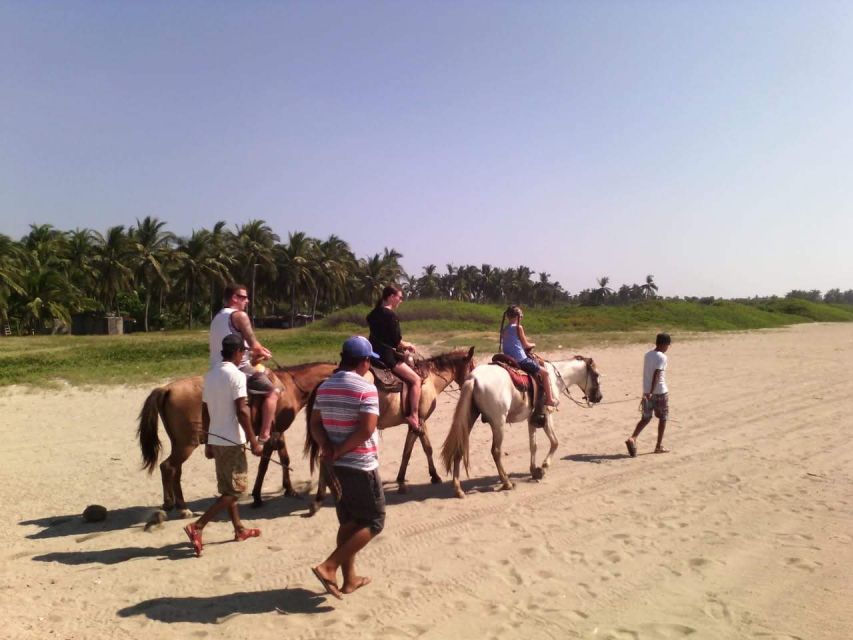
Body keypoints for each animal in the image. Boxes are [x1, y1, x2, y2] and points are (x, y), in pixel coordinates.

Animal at [138, 362, 334, 516]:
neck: (288, 387)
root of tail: (167, 388)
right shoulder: (271, 435)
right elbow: (265, 464)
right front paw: (257, 497)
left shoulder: (278, 432)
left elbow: (285, 459)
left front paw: (290, 489)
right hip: (186, 445)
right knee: (167, 467)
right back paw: (175, 505)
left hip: (180, 445)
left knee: (175, 470)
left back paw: (181, 506)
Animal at [302, 344, 476, 516]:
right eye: (472, 367)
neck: (430, 379)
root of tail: (324, 382)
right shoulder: (419, 420)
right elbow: (418, 450)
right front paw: (421, 478)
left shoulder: (416, 424)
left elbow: (415, 450)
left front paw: (414, 479)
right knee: (325, 459)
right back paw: (320, 499)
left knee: (325, 457)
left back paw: (321, 498)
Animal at [442, 356, 604, 500]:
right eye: (596, 375)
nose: (599, 397)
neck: (555, 379)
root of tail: (473, 379)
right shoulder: (547, 416)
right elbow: (555, 442)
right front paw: (543, 467)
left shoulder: (532, 420)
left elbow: (533, 445)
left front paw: (534, 470)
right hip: (498, 423)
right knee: (496, 451)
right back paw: (507, 483)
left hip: (469, 418)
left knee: (459, 447)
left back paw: (458, 489)